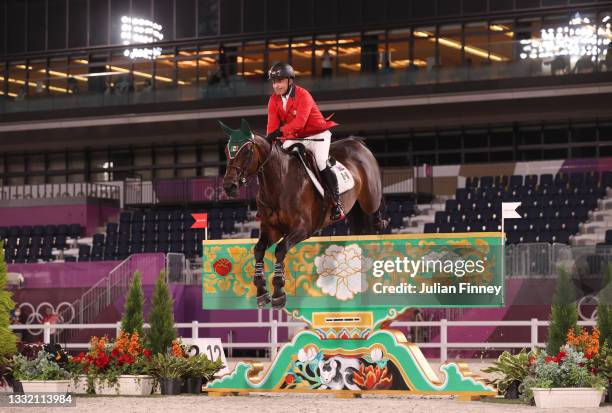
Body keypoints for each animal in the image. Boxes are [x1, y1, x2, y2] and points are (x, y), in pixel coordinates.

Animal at [220, 117, 382, 308]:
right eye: (226, 151)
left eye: (246, 151)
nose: (228, 186)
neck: (278, 183)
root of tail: (356, 142)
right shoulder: (272, 229)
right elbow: (259, 250)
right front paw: (261, 291)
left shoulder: (302, 229)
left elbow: (280, 250)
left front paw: (279, 292)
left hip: (370, 199)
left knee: (375, 212)